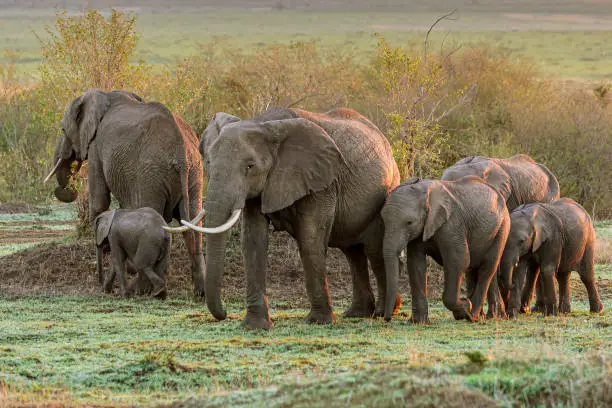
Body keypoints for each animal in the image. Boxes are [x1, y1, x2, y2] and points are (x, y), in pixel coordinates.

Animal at [44, 89, 206, 296]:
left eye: (63, 130)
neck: (103, 95)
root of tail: (181, 155)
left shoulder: (96, 147)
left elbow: (99, 200)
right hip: (195, 173)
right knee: (194, 222)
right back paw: (199, 293)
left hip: (151, 175)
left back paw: (143, 290)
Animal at [172, 107, 402, 330]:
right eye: (208, 162)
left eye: (250, 166)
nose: (225, 314)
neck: (264, 124)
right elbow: (253, 241)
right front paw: (255, 326)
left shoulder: (321, 181)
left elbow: (310, 240)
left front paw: (319, 322)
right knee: (352, 252)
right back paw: (358, 314)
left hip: (386, 192)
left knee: (373, 250)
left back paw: (385, 312)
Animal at [384, 177, 510, 324]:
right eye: (383, 220)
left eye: (409, 222)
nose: (387, 318)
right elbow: (415, 263)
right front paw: (417, 322)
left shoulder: (452, 225)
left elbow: (458, 260)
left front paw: (465, 307)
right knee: (481, 269)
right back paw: (489, 316)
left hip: (502, 227)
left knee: (487, 267)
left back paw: (472, 315)